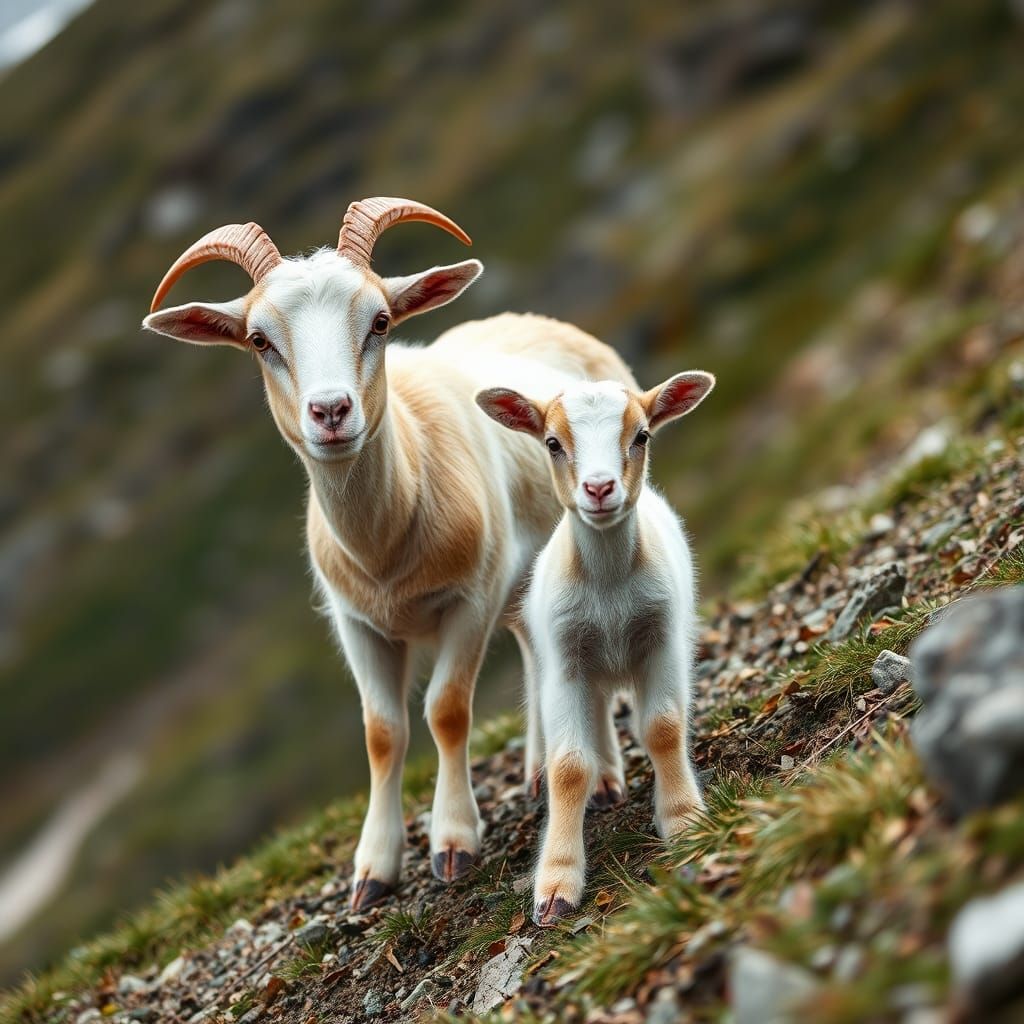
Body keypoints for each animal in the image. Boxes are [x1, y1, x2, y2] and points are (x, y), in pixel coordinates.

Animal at [143, 198, 636, 909]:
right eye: (260, 341)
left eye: (379, 321)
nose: (330, 411)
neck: (385, 549)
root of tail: (533, 320)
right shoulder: (356, 624)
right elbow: (382, 734)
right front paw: (373, 868)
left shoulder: (470, 599)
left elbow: (447, 713)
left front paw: (453, 842)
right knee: (539, 653)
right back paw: (542, 770)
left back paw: (600, 777)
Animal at [476, 372, 715, 925]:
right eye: (552, 443)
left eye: (642, 435)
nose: (600, 488)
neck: (609, 588)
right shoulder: (566, 663)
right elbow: (568, 766)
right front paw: (556, 885)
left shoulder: (663, 641)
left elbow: (663, 729)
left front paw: (683, 819)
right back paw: (603, 780)